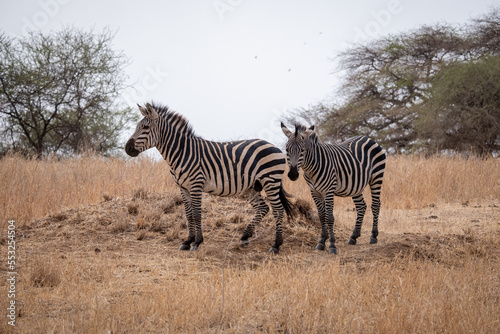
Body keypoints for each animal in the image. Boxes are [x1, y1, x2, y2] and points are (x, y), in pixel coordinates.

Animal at [123, 102, 292, 253]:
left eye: (145, 127)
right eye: (137, 126)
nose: (127, 149)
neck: (182, 152)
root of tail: (273, 146)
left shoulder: (196, 185)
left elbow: (197, 214)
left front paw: (197, 242)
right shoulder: (183, 188)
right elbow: (189, 214)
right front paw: (187, 241)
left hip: (270, 181)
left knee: (278, 210)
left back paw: (276, 245)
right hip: (251, 187)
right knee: (263, 208)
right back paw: (245, 237)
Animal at [282, 122, 386, 253]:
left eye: (302, 150)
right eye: (287, 150)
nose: (293, 174)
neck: (311, 169)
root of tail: (368, 138)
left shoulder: (328, 190)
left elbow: (330, 217)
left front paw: (331, 244)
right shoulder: (315, 191)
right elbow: (322, 216)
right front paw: (322, 242)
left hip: (377, 177)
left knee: (376, 205)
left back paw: (373, 236)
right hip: (355, 185)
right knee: (361, 206)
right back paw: (354, 236)